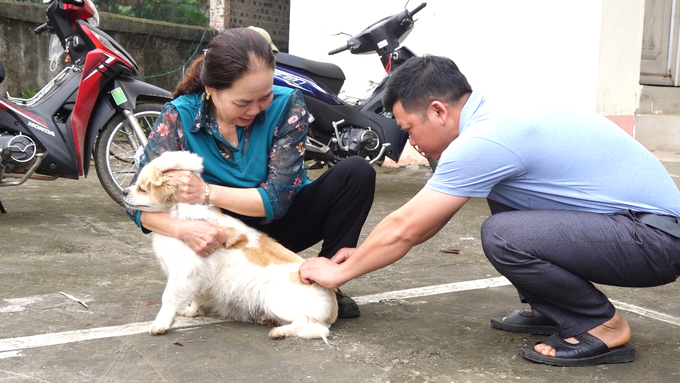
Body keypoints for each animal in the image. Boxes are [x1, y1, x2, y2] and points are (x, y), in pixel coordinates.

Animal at [124, 151, 338, 342]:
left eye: (142, 188)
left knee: (309, 324)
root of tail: (332, 300)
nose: (125, 191)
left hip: (277, 302)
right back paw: (267, 320)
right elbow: (196, 297)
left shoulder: (182, 273)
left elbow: (168, 299)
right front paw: (192, 312)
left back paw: (280, 331)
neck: (177, 213)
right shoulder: (198, 276)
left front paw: (161, 324)